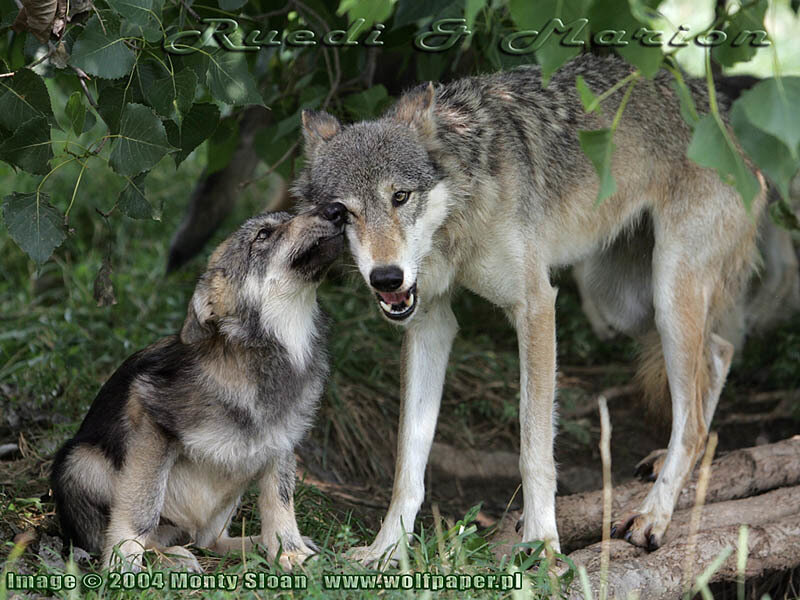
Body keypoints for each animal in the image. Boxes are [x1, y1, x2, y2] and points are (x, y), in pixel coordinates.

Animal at [51, 203, 347, 571]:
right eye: (263, 235)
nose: (338, 209)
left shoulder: (280, 441)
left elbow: (279, 504)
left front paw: (290, 552)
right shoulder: (153, 427)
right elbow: (140, 511)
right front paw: (122, 565)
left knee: (210, 541)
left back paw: (254, 545)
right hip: (80, 462)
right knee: (144, 536)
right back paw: (169, 558)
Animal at [294, 54, 766, 561]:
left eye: (400, 196)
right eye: (341, 212)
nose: (386, 278)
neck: (460, 217)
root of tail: (722, 119)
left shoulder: (536, 306)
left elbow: (534, 450)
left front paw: (541, 541)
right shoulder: (428, 322)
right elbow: (408, 464)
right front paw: (385, 550)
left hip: (667, 295)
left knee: (694, 417)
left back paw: (653, 516)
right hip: (624, 303)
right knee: (717, 355)